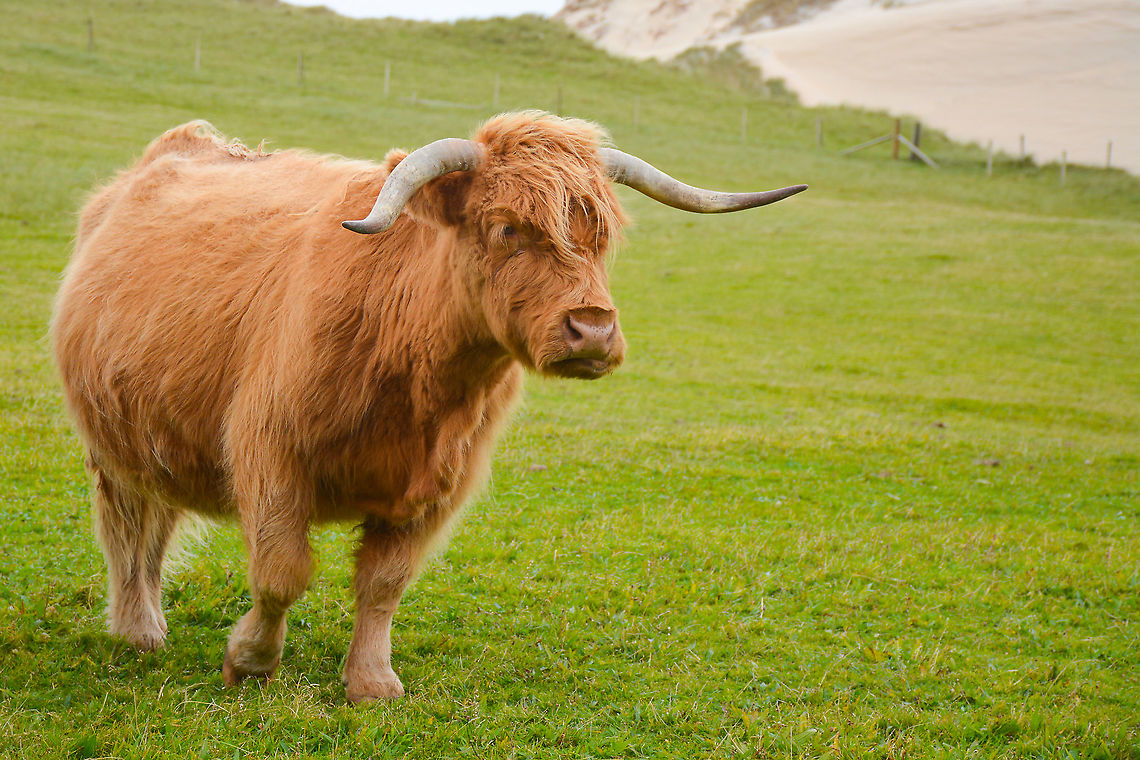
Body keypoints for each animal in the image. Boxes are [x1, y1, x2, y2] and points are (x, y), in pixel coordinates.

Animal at [50, 112, 805, 702]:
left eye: (601, 234)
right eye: (506, 228)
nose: (591, 330)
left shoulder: (437, 485)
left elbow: (384, 583)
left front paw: (372, 682)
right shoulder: (272, 456)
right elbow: (282, 572)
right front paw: (251, 661)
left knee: (153, 525)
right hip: (109, 439)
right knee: (126, 529)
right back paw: (140, 631)